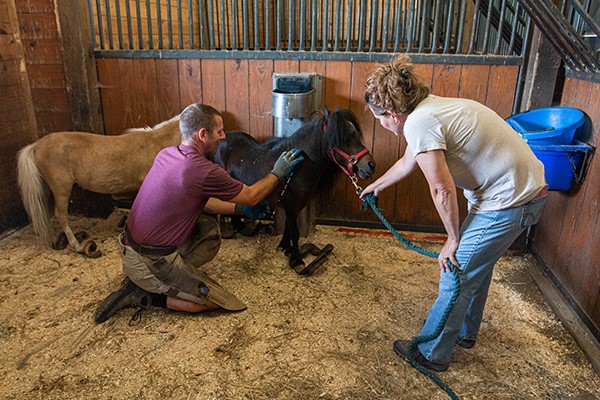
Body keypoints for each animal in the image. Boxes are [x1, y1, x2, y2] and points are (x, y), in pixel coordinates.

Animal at [214, 108, 376, 274]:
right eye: (343, 139)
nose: (370, 165)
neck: (297, 169)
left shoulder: (295, 206)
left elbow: (288, 229)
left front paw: (285, 247)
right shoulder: (291, 206)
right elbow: (295, 233)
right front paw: (297, 260)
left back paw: (241, 227)